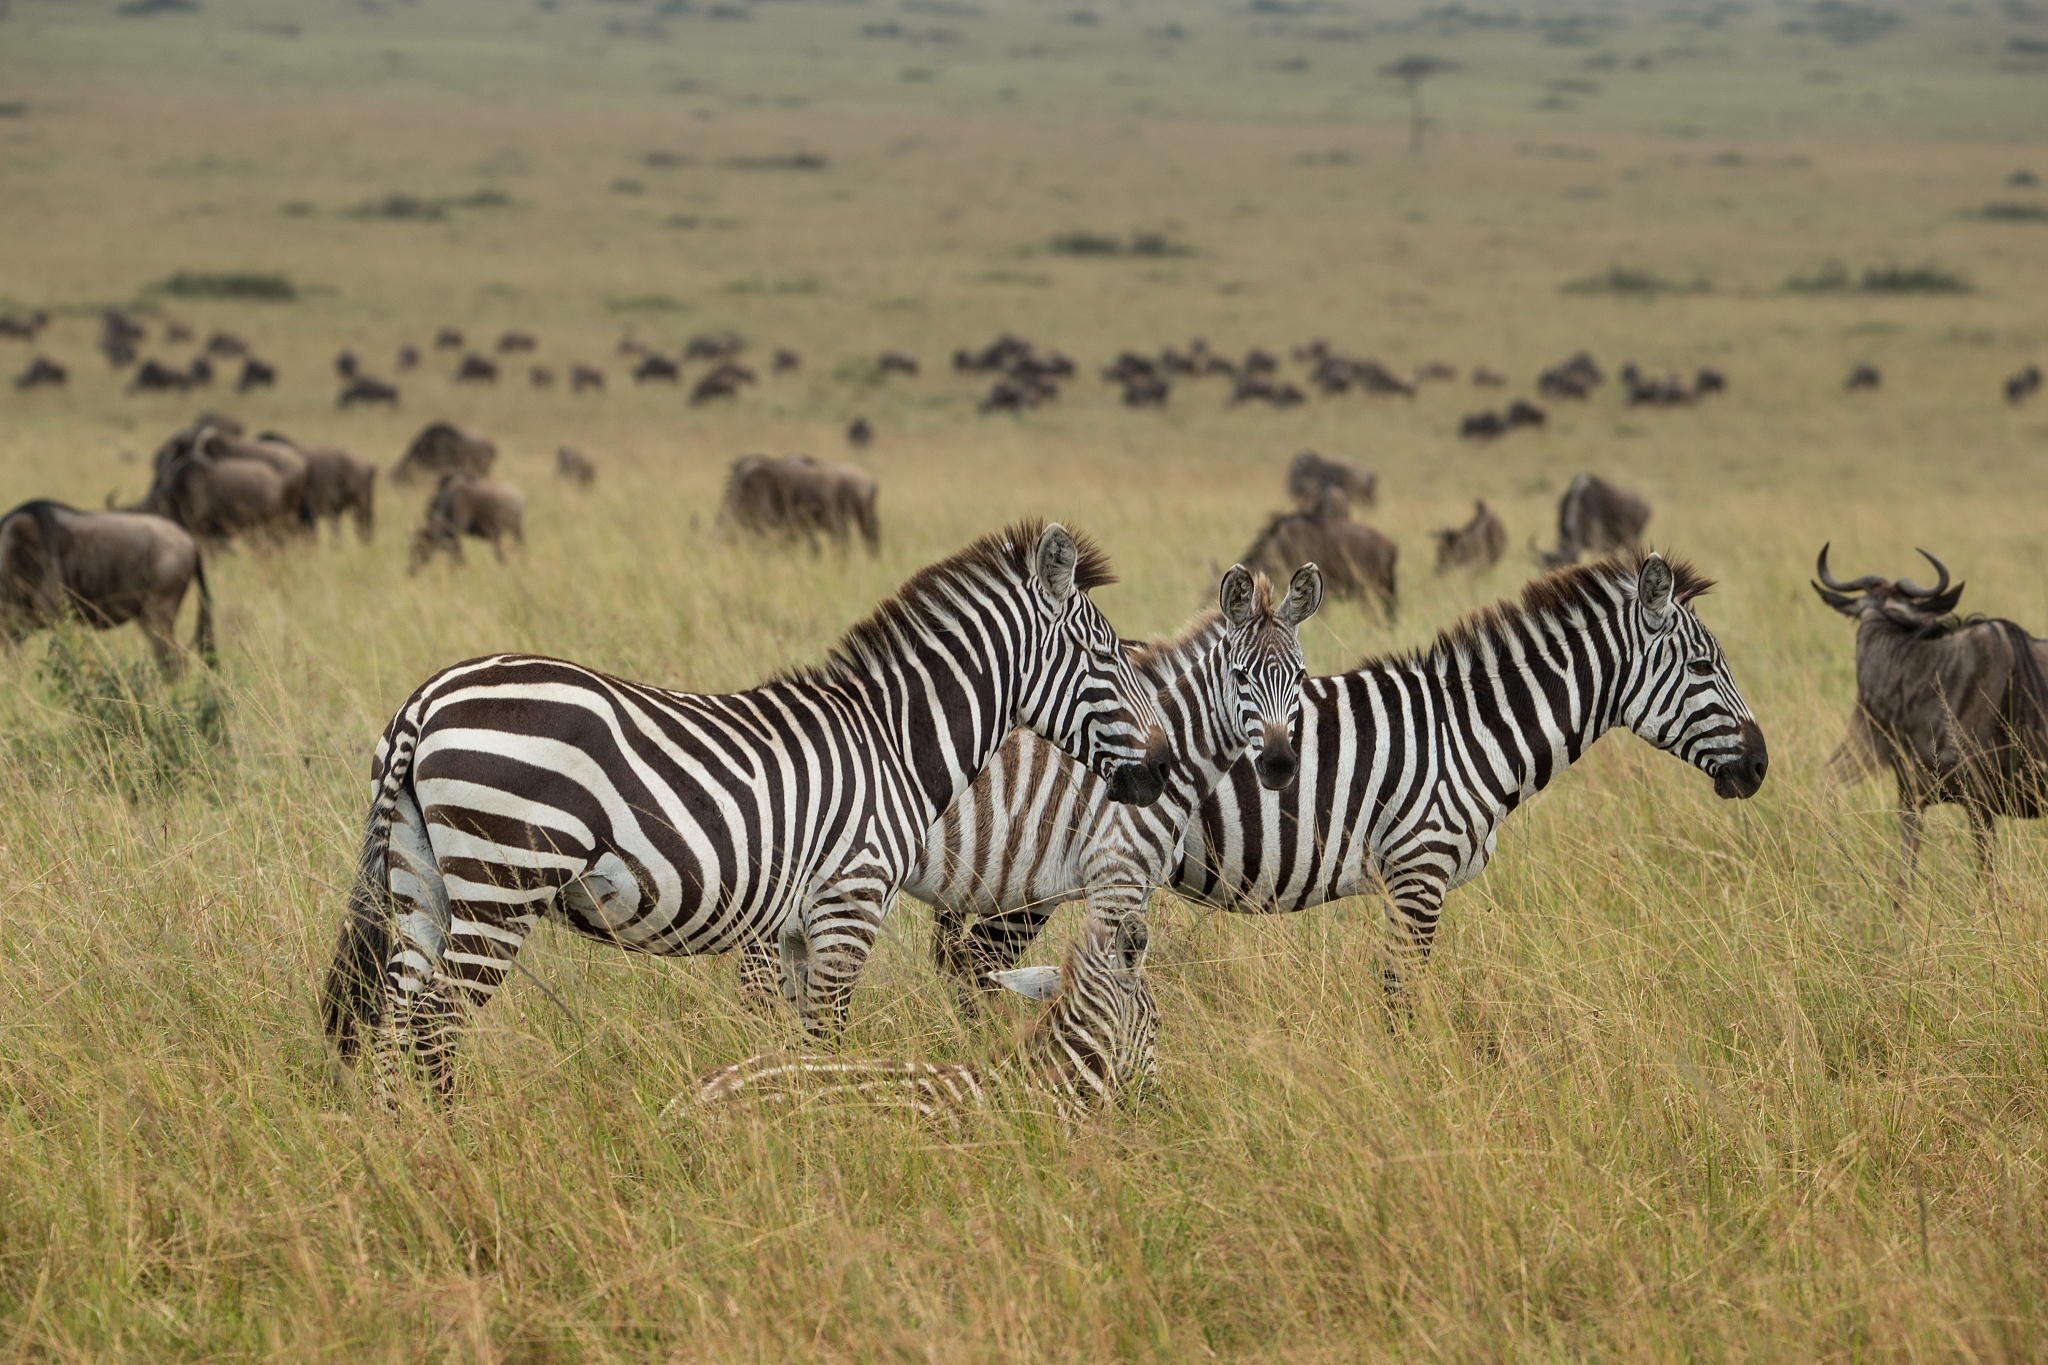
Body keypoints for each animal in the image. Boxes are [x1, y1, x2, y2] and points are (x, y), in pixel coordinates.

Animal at [320, 522, 1172, 1099]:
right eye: (1110, 658)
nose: (1163, 769)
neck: (894, 741)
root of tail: (425, 700)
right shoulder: (850, 901)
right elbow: (828, 1034)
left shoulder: (795, 925)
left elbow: (797, 1041)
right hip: (502, 881)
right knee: (436, 1022)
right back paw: (448, 1145)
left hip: (422, 881)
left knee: (397, 1016)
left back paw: (399, 1145)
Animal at [936, 551, 1771, 995]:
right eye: (1705, 667)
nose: (1760, 766)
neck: (1470, 732)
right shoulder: (1418, 872)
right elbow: (1403, 996)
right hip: (1037, 866)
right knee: (974, 963)